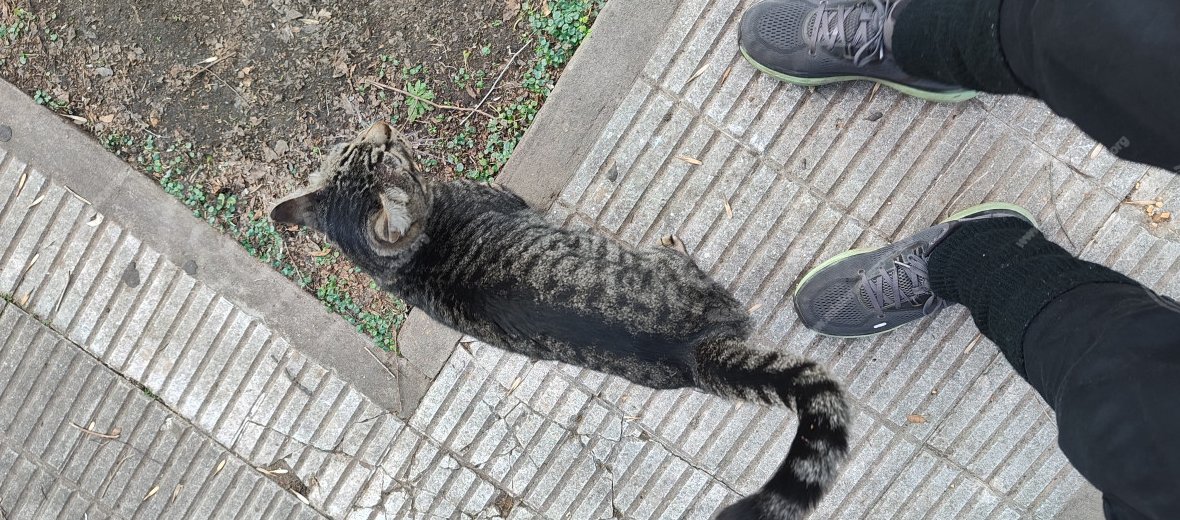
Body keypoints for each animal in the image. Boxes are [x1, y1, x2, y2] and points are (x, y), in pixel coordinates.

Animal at [271, 122, 851, 520]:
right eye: (385, 153)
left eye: (359, 148)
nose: (384, 125)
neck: (408, 259)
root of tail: (692, 352)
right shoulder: (504, 199)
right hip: (683, 273)